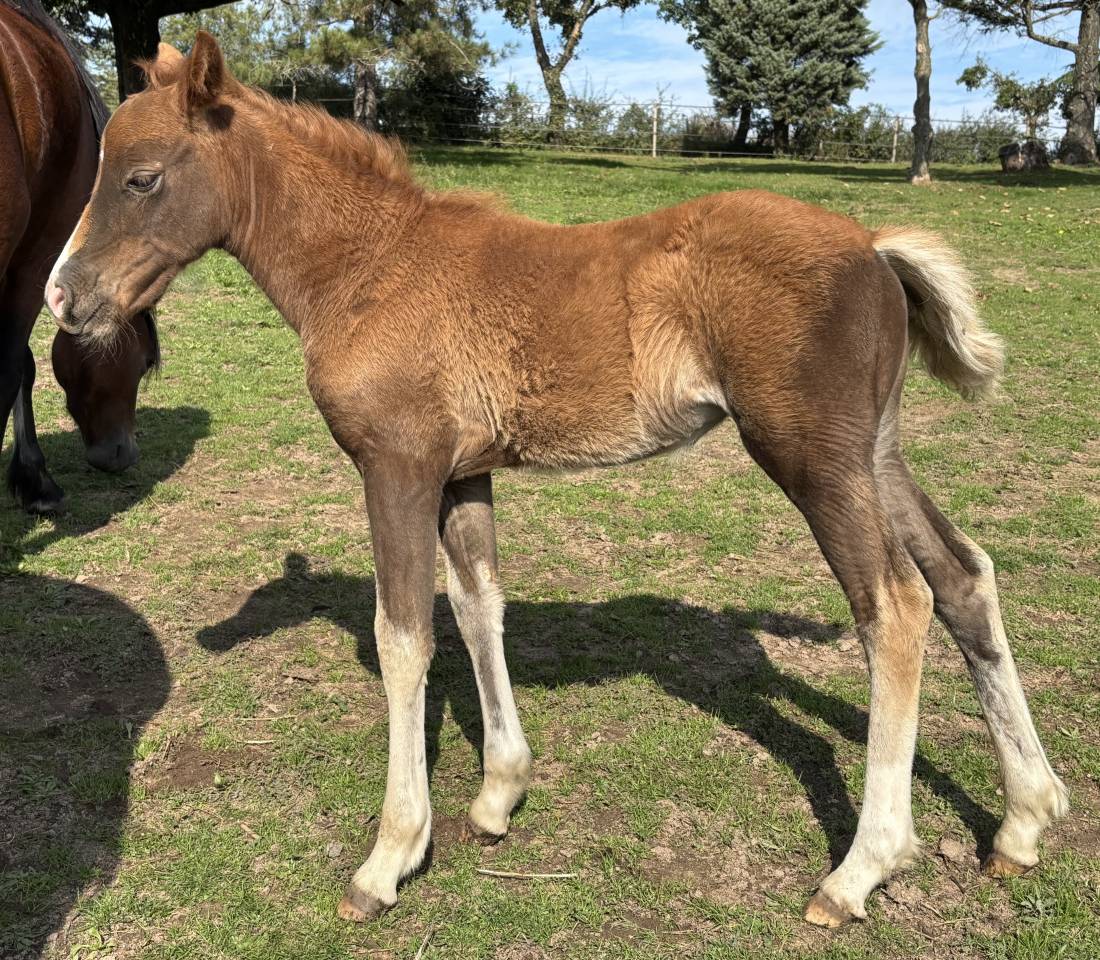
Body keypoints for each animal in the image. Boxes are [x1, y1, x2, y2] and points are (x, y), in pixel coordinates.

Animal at [45, 32, 1068, 929]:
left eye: (142, 178)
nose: (63, 296)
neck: (368, 266)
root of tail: (873, 245)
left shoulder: (397, 469)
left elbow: (402, 639)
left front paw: (390, 857)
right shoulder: (462, 477)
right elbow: (478, 610)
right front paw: (499, 796)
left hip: (814, 459)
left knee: (894, 606)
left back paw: (861, 871)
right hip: (873, 453)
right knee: (962, 575)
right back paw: (1024, 818)